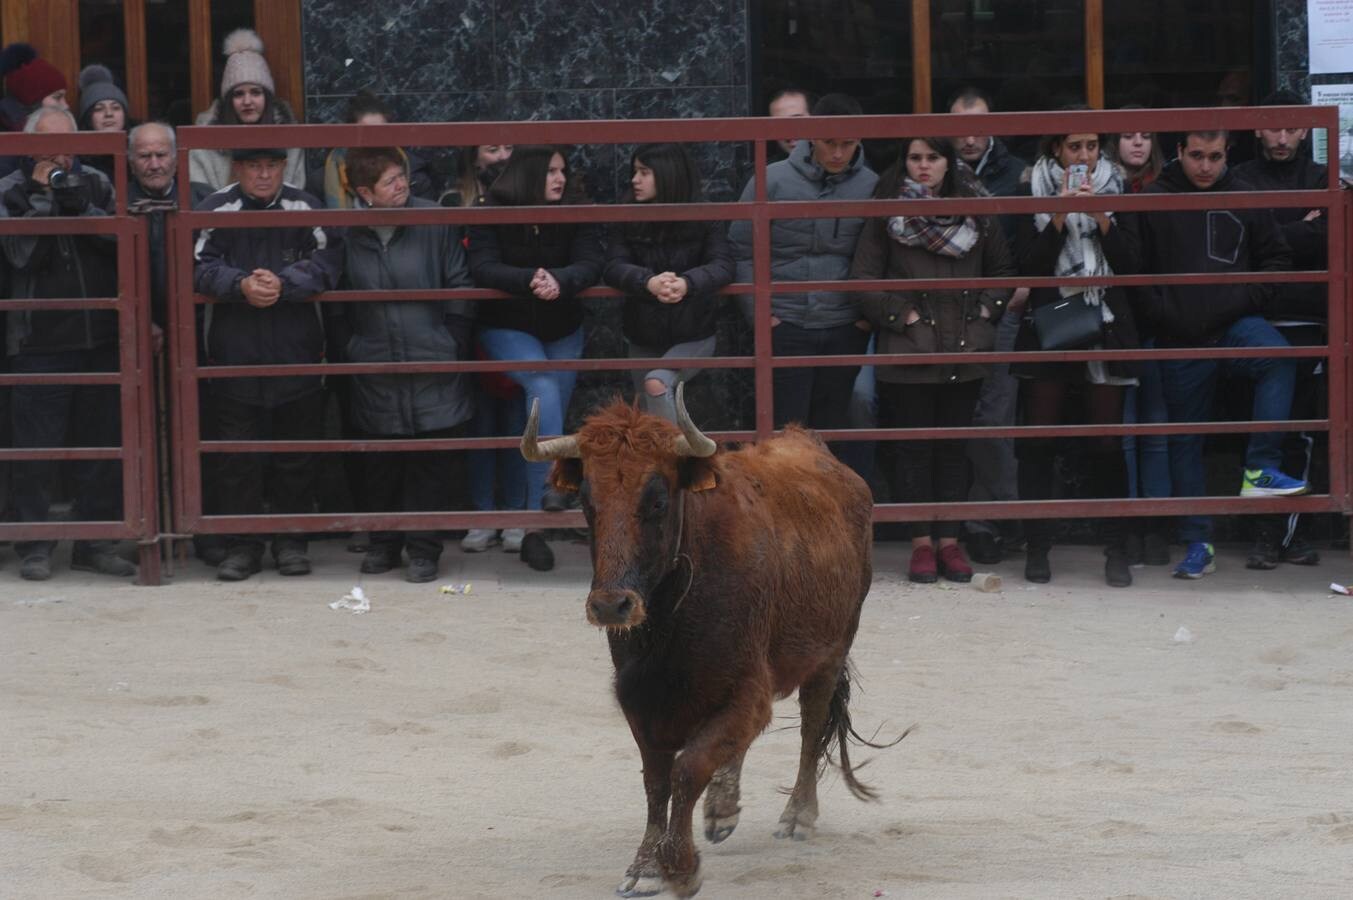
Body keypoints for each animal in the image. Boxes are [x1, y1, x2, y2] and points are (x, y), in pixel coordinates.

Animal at [519, 387, 898, 898]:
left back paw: (797, 815)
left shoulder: (748, 693)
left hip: (830, 654)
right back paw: (722, 808)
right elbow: (657, 780)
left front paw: (679, 865)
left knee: (810, 726)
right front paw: (646, 864)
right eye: (586, 501)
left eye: (658, 501)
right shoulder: (640, 699)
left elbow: (688, 767)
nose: (611, 606)